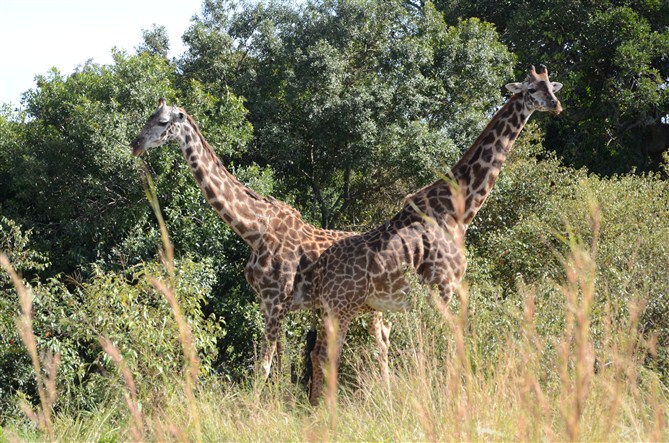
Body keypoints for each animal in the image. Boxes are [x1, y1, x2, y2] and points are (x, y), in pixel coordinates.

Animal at [130, 99, 392, 384]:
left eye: (163, 122)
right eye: (149, 116)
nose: (135, 144)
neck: (254, 231)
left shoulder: (277, 300)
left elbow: (263, 368)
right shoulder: (267, 302)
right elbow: (278, 365)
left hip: (369, 306)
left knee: (381, 345)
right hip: (361, 307)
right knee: (381, 339)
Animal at [310, 65, 560, 406]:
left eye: (551, 86)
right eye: (532, 89)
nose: (556, 106)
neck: (461, 208)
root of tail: (320, 268)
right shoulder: (443, 285)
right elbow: (443, 342)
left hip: (333, 308)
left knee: (315, 352)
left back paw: (311, 405)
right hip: (342, 306)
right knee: (326, 354)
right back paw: (324, 408)